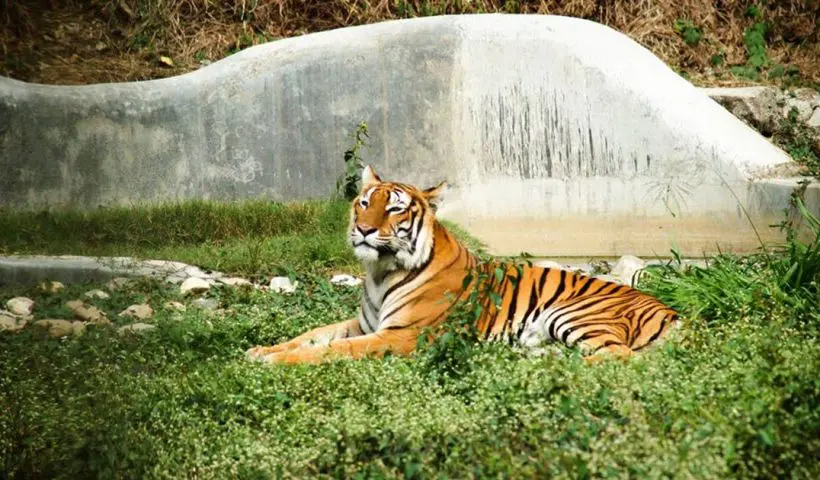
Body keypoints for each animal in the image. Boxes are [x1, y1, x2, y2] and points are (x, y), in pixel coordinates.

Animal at [246, 165, 678, 365]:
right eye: (365, 202)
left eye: (395, 208)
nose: (364, 230)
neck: (380, 272)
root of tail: (671, 311)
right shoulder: (365, 324)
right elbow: (313, 335)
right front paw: (261, 349)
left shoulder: (402, 335)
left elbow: (335, 349)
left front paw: (275, 361)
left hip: (574, 314)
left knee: (619, 356)